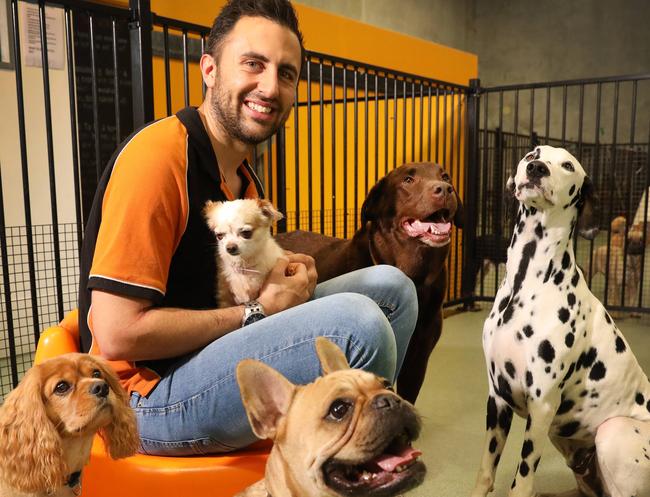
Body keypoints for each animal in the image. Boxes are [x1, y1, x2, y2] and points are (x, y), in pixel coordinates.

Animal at [470, 144, 648, 496]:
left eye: (567, 165)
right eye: (532, 154)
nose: (537, 168)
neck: (526, 280)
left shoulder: (542, 406)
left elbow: (522, 482)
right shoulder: (497, 399)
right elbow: (485, 471)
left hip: (611, 432)